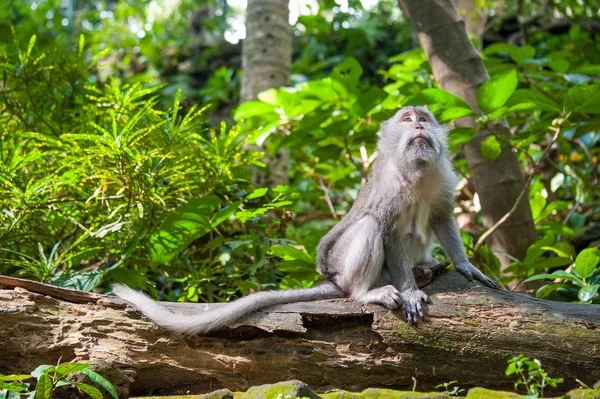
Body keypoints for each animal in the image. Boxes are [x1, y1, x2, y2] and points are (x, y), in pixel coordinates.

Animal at [113, 105, 502, 334]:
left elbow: (441, 216)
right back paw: (369, 291)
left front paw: (466, 267)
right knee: (368, 228)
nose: (419, 125)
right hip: (345, 266)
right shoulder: (389, 186)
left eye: (425, 118)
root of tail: (335, 279)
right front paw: (409, 293)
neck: (416, 170)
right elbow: (386, 226)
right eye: (408, 119)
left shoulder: (443, 177)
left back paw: (424, 268)